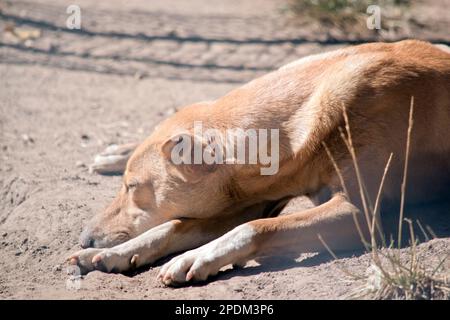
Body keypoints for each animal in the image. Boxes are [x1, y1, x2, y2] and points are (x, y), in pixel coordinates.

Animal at [67, 40, 450, 284]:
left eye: (132, 188)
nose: (84, 239)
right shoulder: (250, 202)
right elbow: (173, 226)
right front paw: (115, 253)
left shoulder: (358, 212)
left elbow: (253, 228)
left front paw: (197, 257)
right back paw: (114, 152)